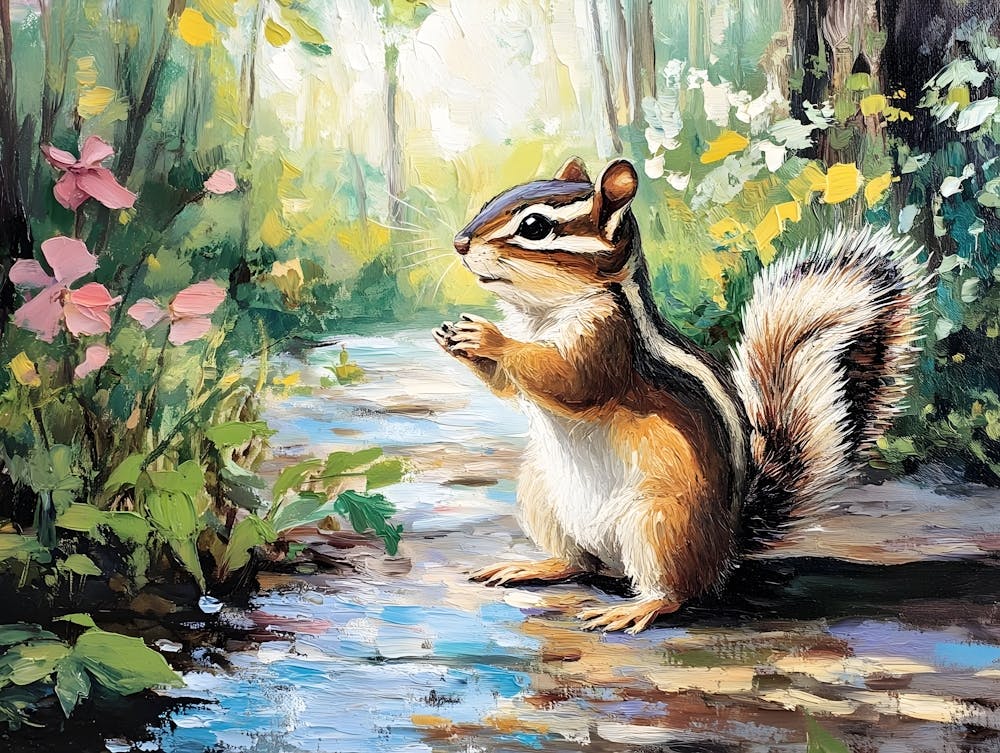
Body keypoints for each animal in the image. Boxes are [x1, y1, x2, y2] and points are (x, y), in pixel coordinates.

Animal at [433, 157, 929, 634]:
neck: (541, 313)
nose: (459, 242)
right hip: (543, 499)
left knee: (675, 591)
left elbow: (569, 381)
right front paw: (456, 340)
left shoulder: (606, 341)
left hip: (662, 525)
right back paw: (533, 567)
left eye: (535, 227)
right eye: (494, 200)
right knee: (580, 564)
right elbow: (509, 386)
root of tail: (729, 545)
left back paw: (635, 609)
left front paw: (488, 338)